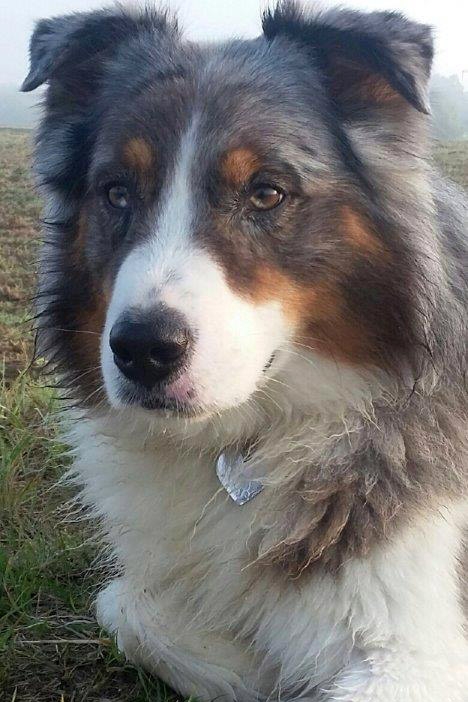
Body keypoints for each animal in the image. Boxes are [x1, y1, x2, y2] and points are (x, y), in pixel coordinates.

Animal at [22, 2, 468, 700]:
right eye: (116, 192)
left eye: (266, 192)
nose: (142, 351)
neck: (246, 442)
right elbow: (126, 605)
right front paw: (252, 665)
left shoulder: (417, 649)